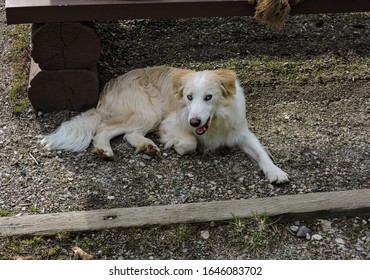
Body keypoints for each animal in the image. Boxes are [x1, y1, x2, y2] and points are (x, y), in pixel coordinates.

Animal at [40, 66, 290, 184]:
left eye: (208, 97)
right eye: (189, 97)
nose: (194, 121)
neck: (215, 121)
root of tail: (109, 87)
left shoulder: (241, 132)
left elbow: (262, 153)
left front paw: (275, 172)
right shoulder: (170, 121)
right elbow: (189, 142)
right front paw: (179, 145)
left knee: (128, 134)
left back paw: (147, 146)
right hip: (148, 113)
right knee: (105, 129)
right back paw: (105, 150)